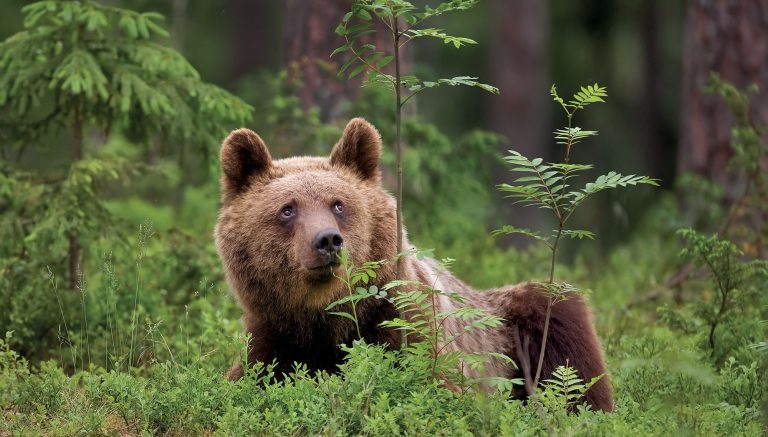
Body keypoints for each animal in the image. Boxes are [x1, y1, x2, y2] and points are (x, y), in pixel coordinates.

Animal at [213, 117, 616, 410]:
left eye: (338, 204)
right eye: (287, 209)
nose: (327, 241)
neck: (327, 318)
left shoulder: (405, 323)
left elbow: (441, 390)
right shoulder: (272, 336)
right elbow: (239, 388)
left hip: (516, 325)